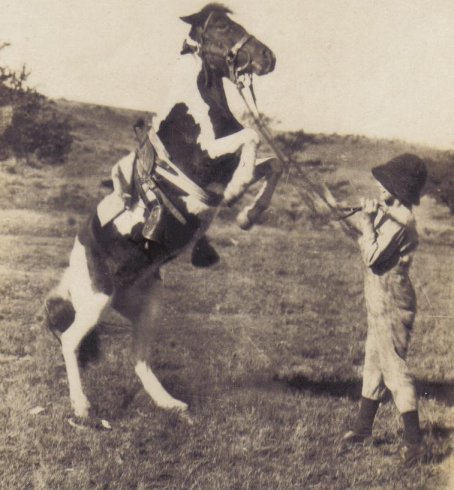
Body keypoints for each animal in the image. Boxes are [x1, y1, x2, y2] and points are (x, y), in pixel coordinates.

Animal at [45, 2, 280, 418]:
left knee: (139, 357)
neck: (198, 109)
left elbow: (273, 165)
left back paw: (169, 402)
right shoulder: (208, 157)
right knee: (71, 340)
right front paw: (239, 192)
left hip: (147, 305)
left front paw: (248, 213)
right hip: (96, 300)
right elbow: (252, 138)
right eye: (222, 26)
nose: (268, 58)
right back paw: (82, 407)